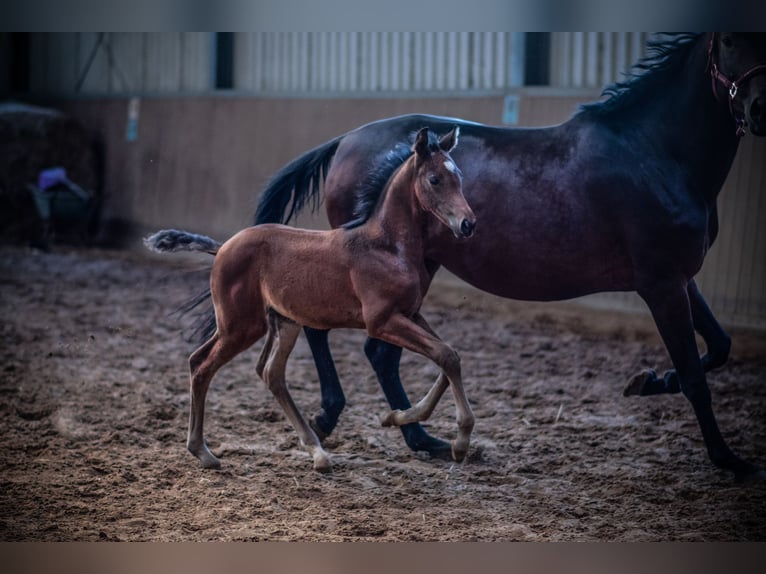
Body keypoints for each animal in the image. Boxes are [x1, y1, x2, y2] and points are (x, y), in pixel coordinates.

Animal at [147, 128, 476, 474]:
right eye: (435, 179)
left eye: (459, 176)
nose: (468, 224)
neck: (386, 246)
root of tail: (223, 247)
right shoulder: (382, 321)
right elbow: (446, 356)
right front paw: (459, 441)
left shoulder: (410, 314)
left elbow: (449, 356)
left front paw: (394, 416)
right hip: (241, 326)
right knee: (202, 365)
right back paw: (203, 451)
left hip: (282, 323)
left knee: (268, 373)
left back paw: (315, 450)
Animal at [244, 32, 766, 482]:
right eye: (728, 41)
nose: (759, 107)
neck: (655, 153)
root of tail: (345, 140)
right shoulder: (661, 282)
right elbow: (696, 376)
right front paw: (728, 458)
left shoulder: (681, 278)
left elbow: (719, 347)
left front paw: (647, 380)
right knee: (332, 332)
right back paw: (337, 417)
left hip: (415, 270)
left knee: (377, 352)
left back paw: (417, 435)